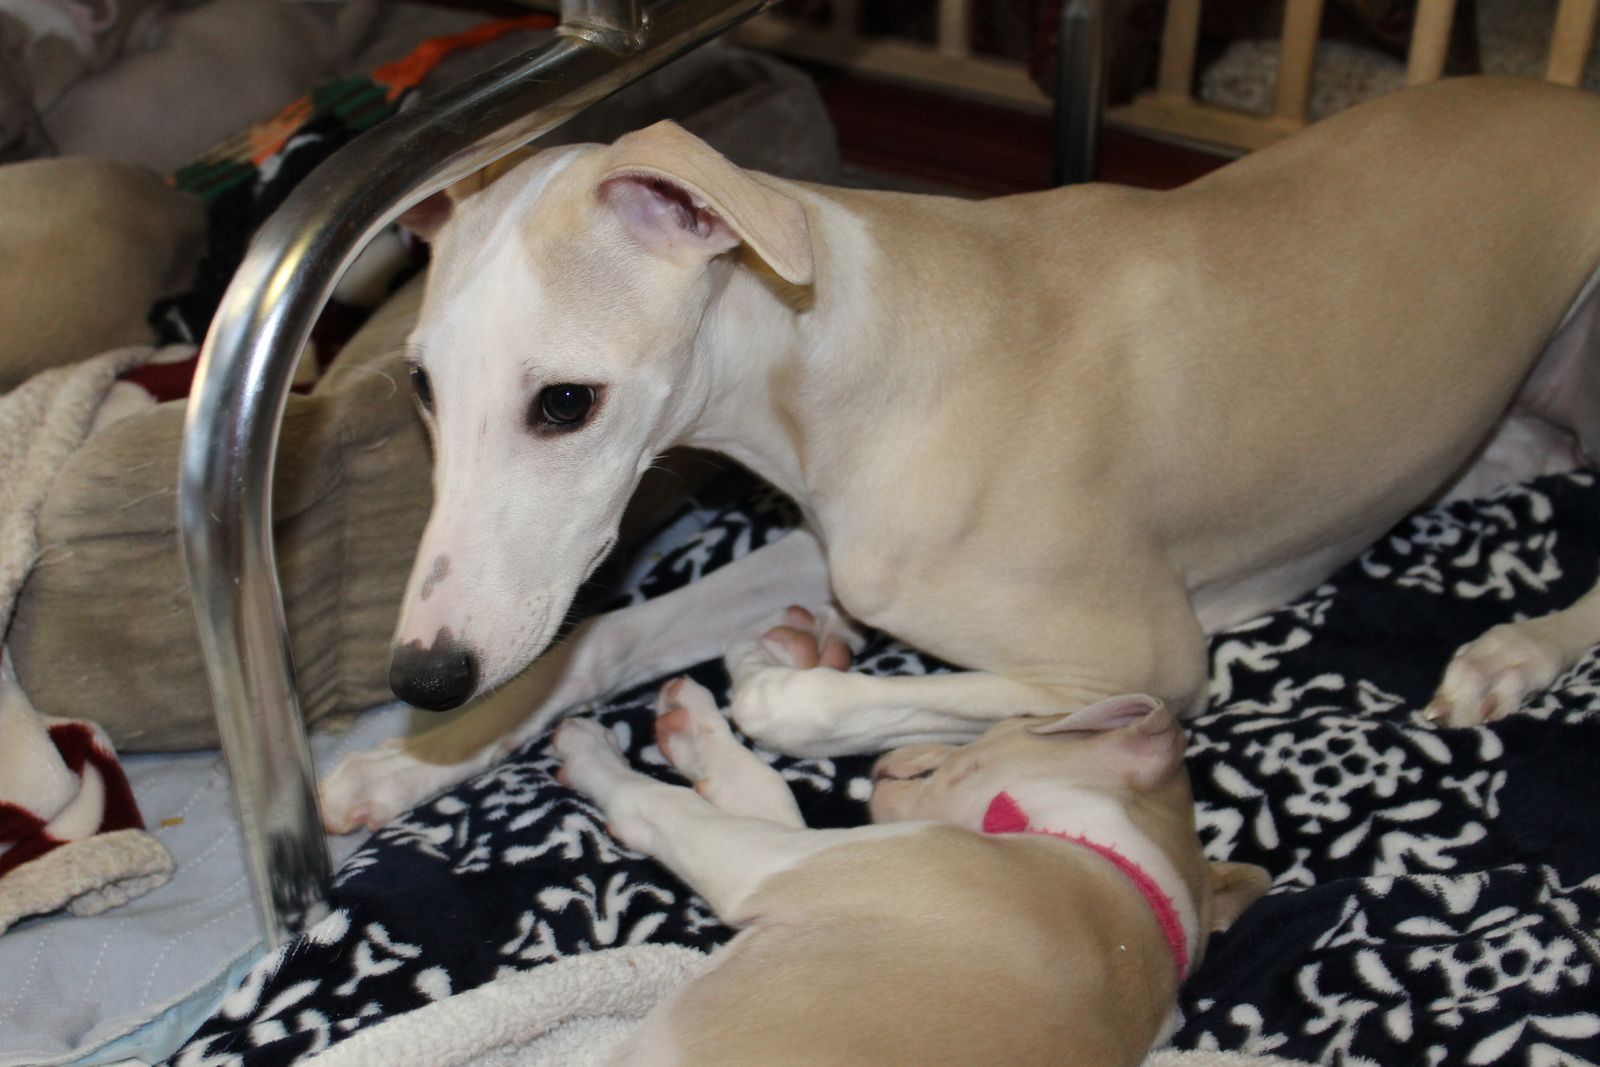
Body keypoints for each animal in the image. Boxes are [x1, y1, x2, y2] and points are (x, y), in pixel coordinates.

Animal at [321, 75, 1600, 834]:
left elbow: (804, 703)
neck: (851, 341)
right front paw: (410, 762)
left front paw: (771, 680)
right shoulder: (833, 548)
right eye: (423, 386)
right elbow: (602, 635)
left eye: (565, 401)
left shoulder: (1147, 657)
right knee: (1530, 450)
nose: (422, 676)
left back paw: (1515, 649)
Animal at [553, 653, 1270, 1065]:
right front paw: (695, 727)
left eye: (1001, 725)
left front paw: (594, 756)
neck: (1130, 868)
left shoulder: (777, 863)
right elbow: (765, 790)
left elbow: (664, 806)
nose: (880, 762)